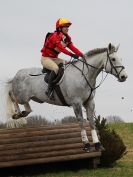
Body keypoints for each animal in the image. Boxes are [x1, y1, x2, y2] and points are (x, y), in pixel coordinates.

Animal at [0, 43, 128, 152]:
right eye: (113, 59)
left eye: (121, 58)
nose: (124, 77)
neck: (84, 75)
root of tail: (17, 74)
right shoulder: (76, 103)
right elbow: (81, 121)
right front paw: (86, 144)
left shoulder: (89, 102)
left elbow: (91, 121)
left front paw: (97, 144)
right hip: (21, 95)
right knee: (12, 95)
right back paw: (17, 114)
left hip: (30, 97)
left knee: (26, 107)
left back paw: (23, 113)